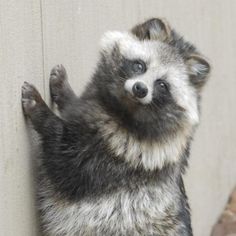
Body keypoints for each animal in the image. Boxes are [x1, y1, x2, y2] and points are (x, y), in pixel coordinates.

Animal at [21, 17, 210, 235]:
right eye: (139, 65)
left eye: (162, 85)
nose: (140, 89)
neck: (121, 110)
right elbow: (76, 107)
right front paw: (65, 91)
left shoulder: (113, 157)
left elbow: (61, 157)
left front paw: (40, 109)